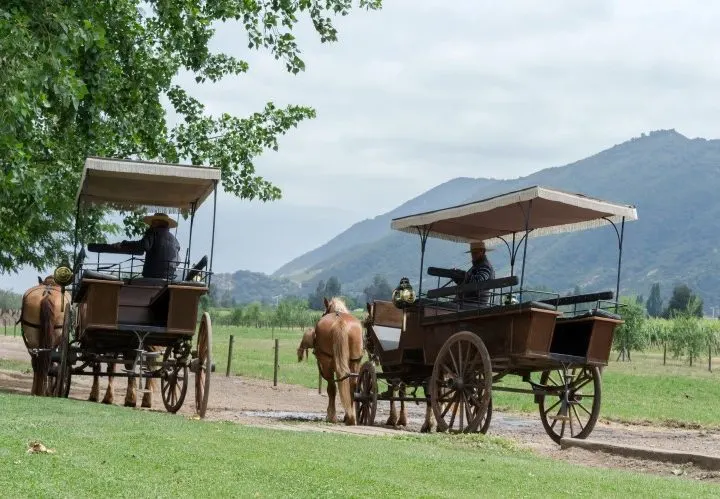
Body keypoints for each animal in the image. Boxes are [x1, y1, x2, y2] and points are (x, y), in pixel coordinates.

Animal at [310, 296, 366, 426]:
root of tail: (340, 322)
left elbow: (331, 389)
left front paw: (330, 415)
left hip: (327, 362)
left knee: (332, 388)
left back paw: (333, 416)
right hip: (355, 361)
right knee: (352, 385)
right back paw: (351, 417)